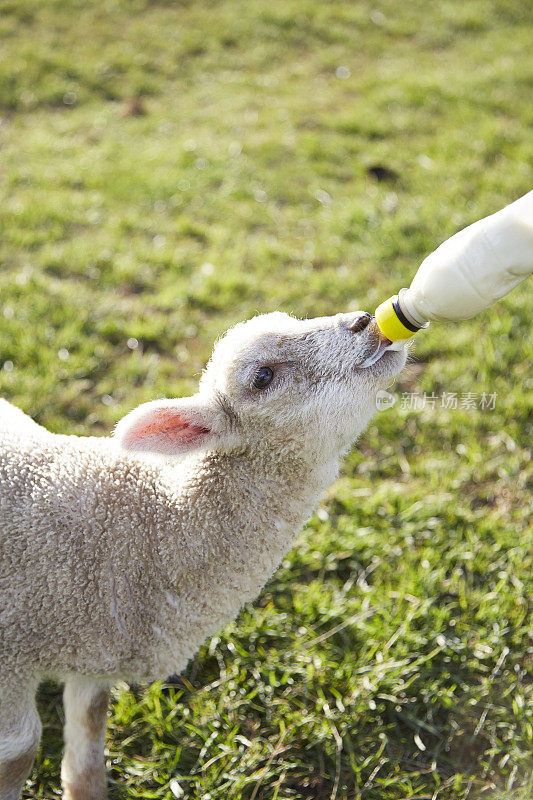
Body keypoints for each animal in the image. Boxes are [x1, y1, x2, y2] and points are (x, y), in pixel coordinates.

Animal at [0, 310, 406, 796]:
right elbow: (20, 752)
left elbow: (89, 744)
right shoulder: (10, 656)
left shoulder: (96, 653)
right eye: (263, 377)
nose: (363, 320)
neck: (145, 534)